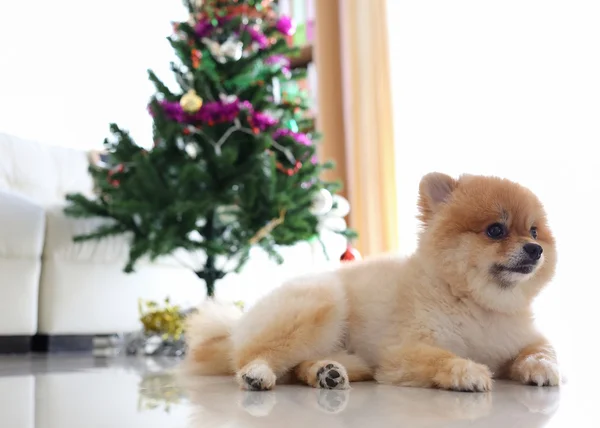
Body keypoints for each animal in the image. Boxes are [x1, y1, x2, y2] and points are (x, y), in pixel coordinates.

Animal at [185, 173, 560, 392]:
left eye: (533, 231)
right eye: (495, 230)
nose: (536, 249)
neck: (478, 302)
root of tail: (237, 325)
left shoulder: (524, 338)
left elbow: (539, 351)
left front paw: (540, 367)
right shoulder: (404, 350)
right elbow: (441, 357)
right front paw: (467, 371)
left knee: (296, 367)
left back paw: (326, 372)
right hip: (322, 301)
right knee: (252, 356)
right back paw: (258, 373)